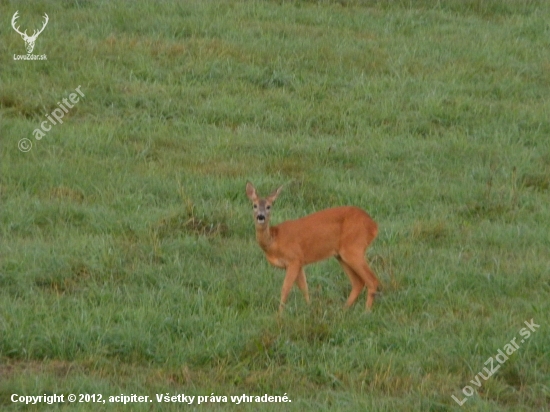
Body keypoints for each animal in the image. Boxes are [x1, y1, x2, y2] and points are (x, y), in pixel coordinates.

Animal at [248, 182, 382, 314]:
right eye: (254, 205)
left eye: (269, 206)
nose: (261, 216)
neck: (274, 240)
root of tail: (374, 226)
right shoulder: (299, 262)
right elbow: (304, 287)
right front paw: (309, 308)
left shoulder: (294, 258)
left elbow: (286, 288)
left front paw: (279, 314)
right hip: (341, 255)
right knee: (358, 283)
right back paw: (343, 309)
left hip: (354, 247)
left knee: (372, 280)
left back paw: (366, 312)